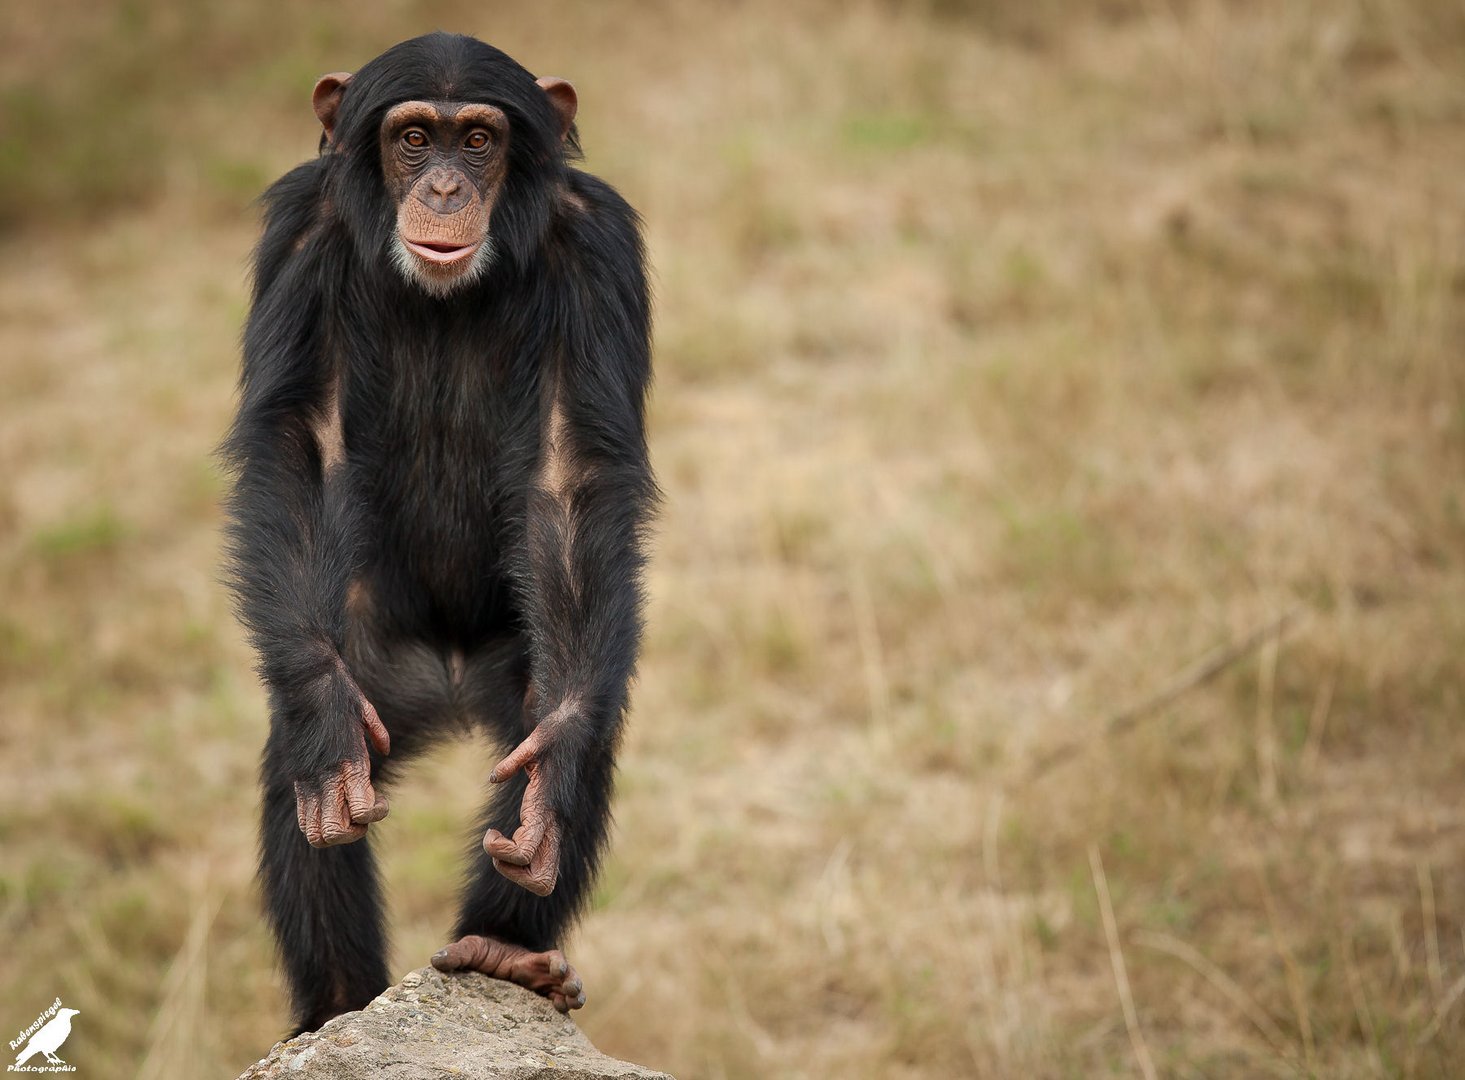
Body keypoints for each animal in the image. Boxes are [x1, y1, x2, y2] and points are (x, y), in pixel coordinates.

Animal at [221, 29, 653, 1031]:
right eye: (414, 138)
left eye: (479, 141)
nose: (449, 188)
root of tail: (449, 687)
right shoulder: (302, 232)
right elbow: (300, 436)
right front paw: (324, 720)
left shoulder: (600, 246)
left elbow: (573, 471)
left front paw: (557, 761)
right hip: (382, 668)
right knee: (296, 778)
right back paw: (337, 1002)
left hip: (516, 663)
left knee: (567, 747)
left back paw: (506, 953)